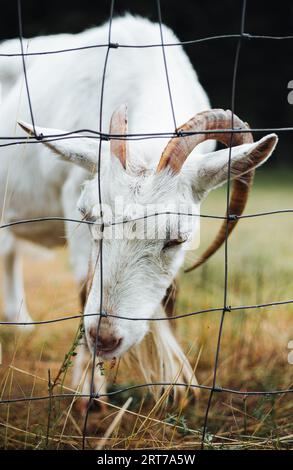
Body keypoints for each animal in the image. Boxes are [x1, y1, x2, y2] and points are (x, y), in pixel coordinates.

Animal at [0, 16, 276, 406]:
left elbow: (171, 293)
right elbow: (85, 285)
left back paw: (19, 322)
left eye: (177, 239)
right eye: (91, 219)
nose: (104, 338)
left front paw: (175, 384)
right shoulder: (73, 195)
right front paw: (89, 388)